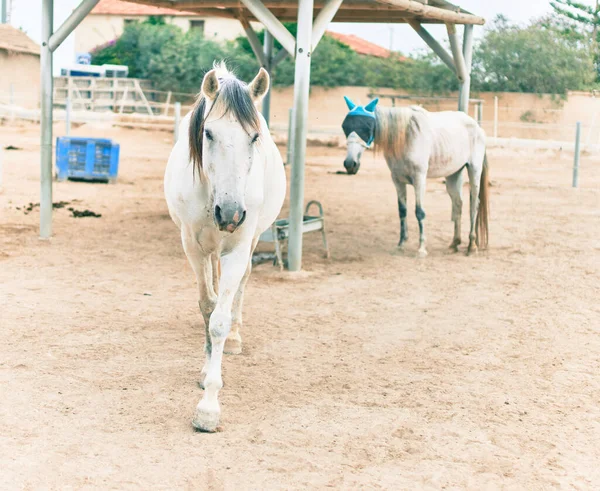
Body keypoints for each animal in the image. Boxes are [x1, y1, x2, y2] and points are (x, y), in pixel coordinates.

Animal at [164, 62, 286, 434]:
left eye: (254, 137)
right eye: (209, 133)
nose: (230, 214)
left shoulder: (238, 248)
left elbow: (220, 319)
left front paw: (208, 408)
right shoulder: (193, 247)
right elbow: (207, 307)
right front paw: (206, 373)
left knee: (241, 285)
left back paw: (234, 338)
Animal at [342, 97, 488, 258]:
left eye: (367, 127)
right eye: (345, 127)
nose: (350, 164)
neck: (405, 136)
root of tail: (477, 126)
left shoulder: (419, 179)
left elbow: (419, 212)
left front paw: (421, 249)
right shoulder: (397, 180)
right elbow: (402, 210)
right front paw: (401, 244)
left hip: (474, 170)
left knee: (474, 204)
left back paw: (471, 246)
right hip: (452, 175)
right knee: (458, 204)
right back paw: (454, 244)